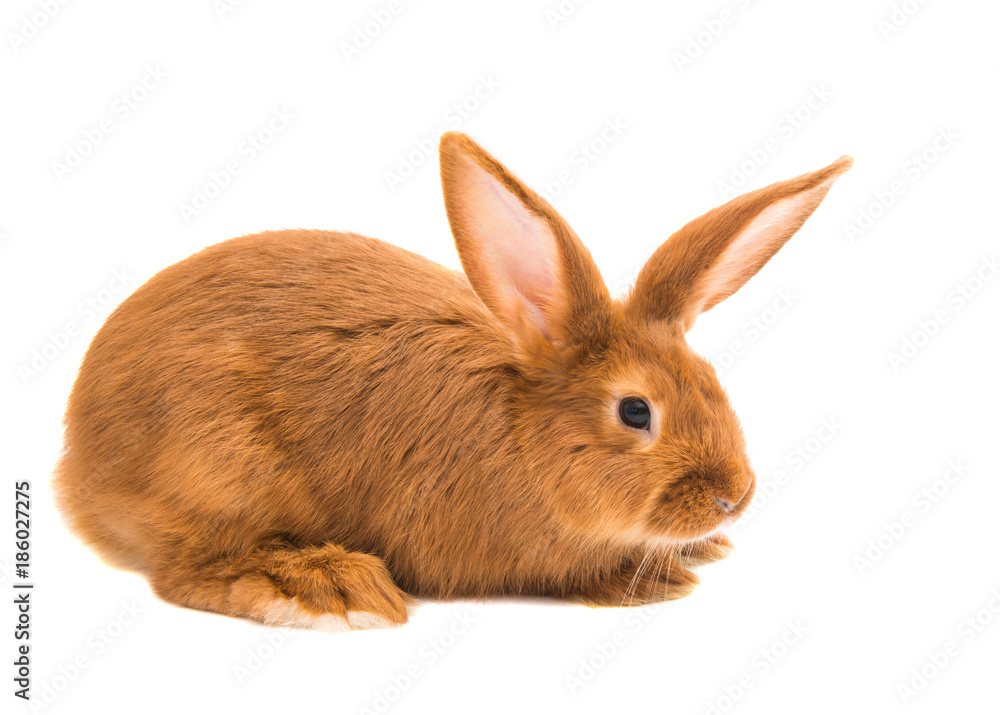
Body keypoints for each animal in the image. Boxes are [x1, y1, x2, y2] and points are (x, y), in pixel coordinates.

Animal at [54, 132, 851, 631]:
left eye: (714, 379)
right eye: (634, 411)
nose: (733, 497)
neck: (526, 438)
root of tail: (76, 466)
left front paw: (693, 553)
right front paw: (652, 580)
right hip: (217, 467)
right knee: (187, 568)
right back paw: (323, 586)